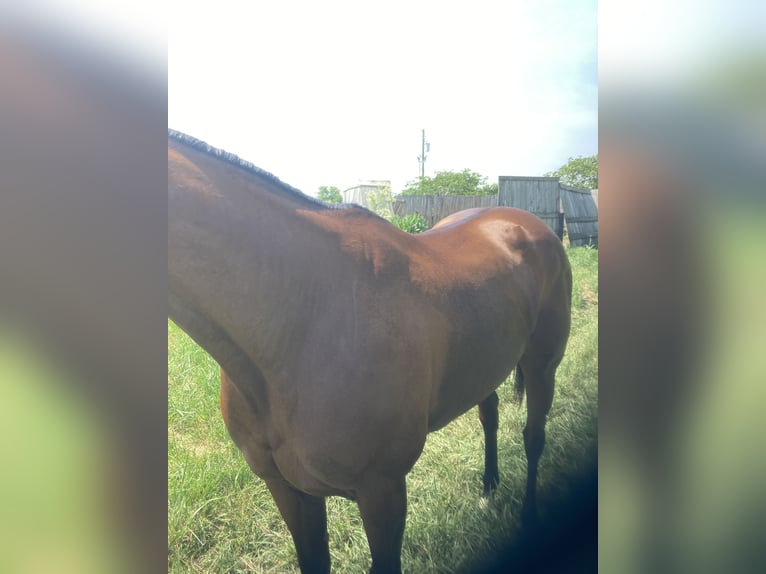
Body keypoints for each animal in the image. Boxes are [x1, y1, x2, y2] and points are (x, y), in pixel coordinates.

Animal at [171, 132, 572, 574]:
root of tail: (526, 223)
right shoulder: (288, 488)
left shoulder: (382, 491)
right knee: (490, 414)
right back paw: (488, 487)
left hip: (542, 366)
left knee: (533, 437)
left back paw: (529, 516)